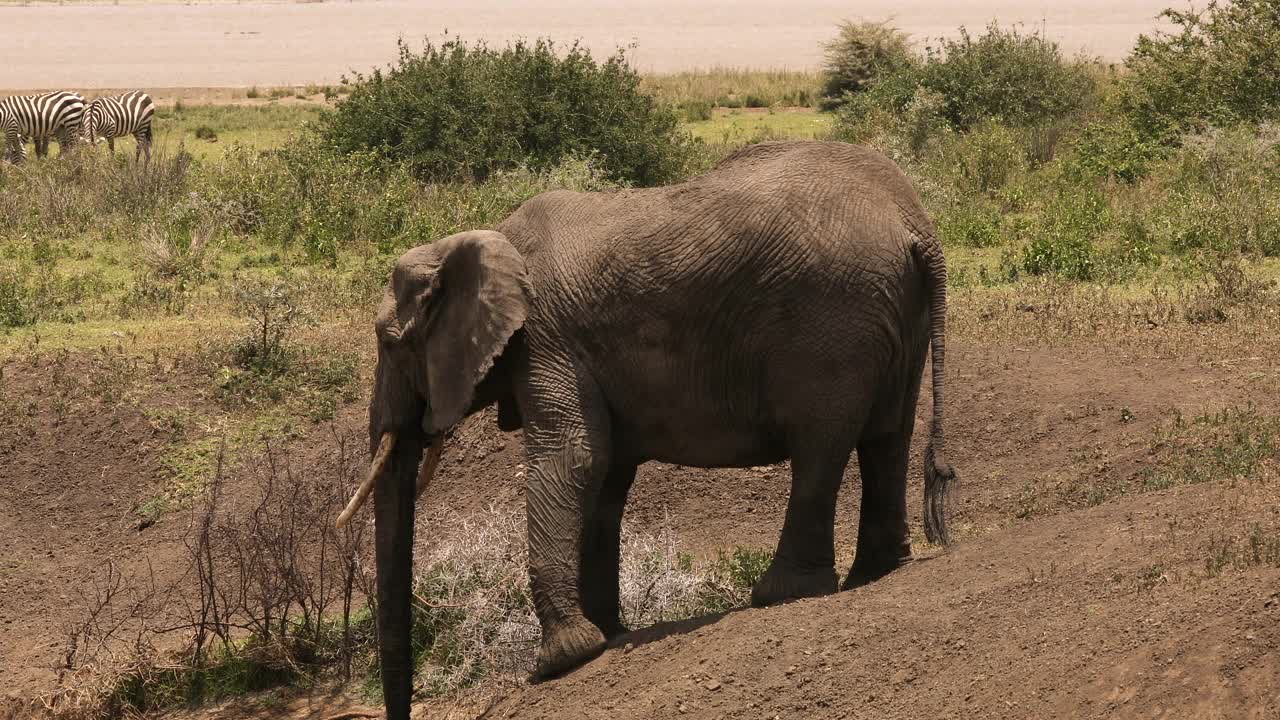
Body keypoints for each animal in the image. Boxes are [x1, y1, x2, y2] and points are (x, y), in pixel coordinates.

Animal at [335, 137, 957, 712]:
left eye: (389, 344)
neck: (481, 241)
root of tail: (914, 222)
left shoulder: (548, 339)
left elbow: (573, 456)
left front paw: (560, 662)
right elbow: (604, 475)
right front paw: (607, 636)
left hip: (830, 322)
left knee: (821, 447)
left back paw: (783, 594)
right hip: (890, 317)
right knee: (886, 436)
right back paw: (873, 574)